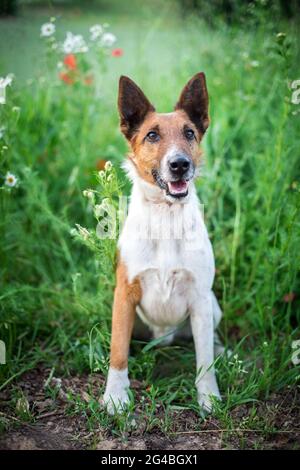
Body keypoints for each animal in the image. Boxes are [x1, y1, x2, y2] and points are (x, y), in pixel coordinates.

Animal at [103, 71, 223, 414]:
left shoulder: (200, 298)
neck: (166, 217)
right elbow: (117, 350)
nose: (179, 164)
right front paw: (115, 396)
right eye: (152, 135)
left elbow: (204, 359)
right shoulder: (124, 295)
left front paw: (208, 397)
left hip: (213, 306)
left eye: (189, 133)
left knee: (210, 340)